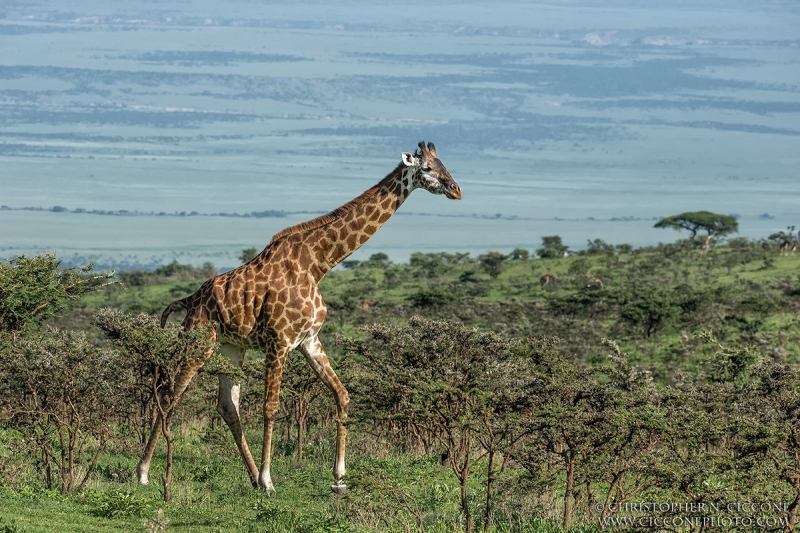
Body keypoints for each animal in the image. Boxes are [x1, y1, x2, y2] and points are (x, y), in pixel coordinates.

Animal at [136, 140, 462, 490]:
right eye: (427, 168)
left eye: (444, 164)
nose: (456, 190)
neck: (317, 264)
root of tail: (189, 300)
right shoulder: (278, 342)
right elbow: (270, 407)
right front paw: (269, 480)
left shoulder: (309, 341)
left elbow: (342, 395)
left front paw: (339, 475)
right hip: (198, 342)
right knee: (170, 393)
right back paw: (144, 472)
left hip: (231, 349)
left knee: (227, 406)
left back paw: (250, 476)